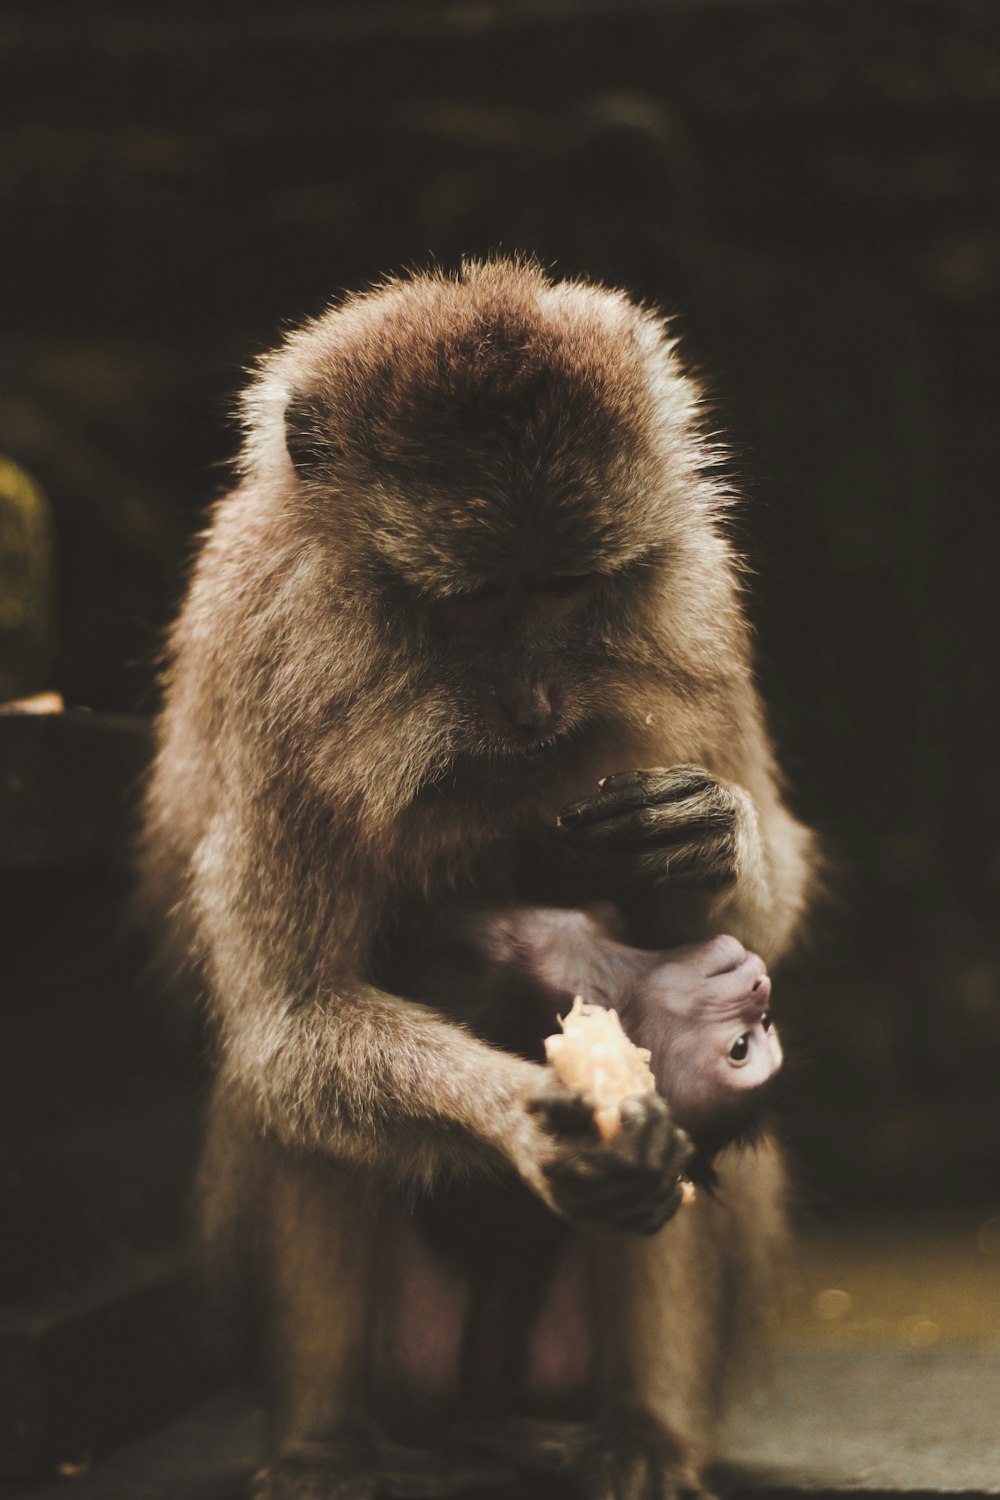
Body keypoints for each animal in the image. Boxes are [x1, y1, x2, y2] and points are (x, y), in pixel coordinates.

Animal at [140, 261, 815, 1500]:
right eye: (471, 600)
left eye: (564, 586)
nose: (535, 704)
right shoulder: (279, 678)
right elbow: (294, 1026)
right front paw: (527, 1118)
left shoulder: (699, 620)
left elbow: (768, 894)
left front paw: (710, 838)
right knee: (289, 1113)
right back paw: (325, 1444)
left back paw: (643, 1428)